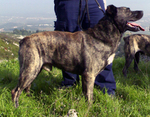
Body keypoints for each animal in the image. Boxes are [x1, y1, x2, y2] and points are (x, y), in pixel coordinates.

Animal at [11, 5, 143, 107]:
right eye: (128, 10)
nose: (142, 11)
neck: (102, 35)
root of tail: (23, 40)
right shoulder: (89, 75)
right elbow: (89, 96)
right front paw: (89, 109)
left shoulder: (86, 77)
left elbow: (86, 94)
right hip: (30, 69)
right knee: (15, 91)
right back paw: (16, 107)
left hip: (34, 69)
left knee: (26, 87)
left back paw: (29, 101)